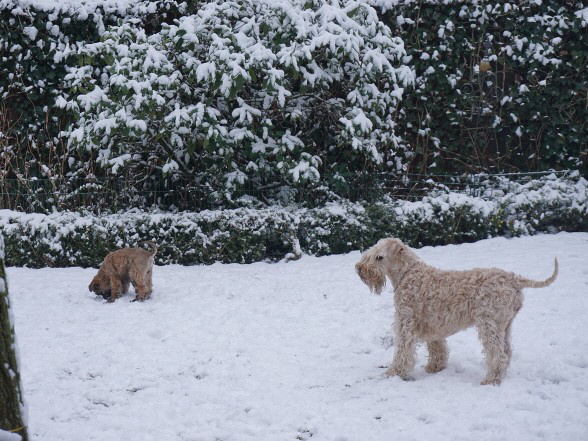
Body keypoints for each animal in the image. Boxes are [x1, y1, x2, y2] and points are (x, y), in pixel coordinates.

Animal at [356, 237, 560, 384]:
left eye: (379, 256)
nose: (359, 269)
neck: (407, 274)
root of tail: (514, 279)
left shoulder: (406, 323)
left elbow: (402, 351)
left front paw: (393, 373)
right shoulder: (432, 325)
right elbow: (437, 348)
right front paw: (435, 367)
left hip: (489, 324)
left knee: (498, 354)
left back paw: (490, 380)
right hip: (505, 325)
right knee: (507, 351)